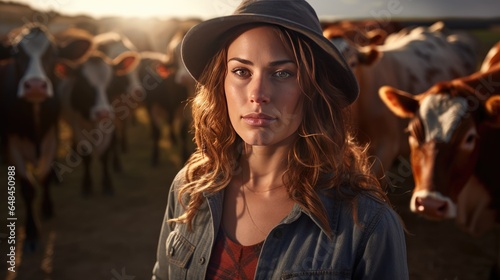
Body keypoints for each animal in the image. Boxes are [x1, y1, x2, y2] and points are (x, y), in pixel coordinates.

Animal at [0, 23, 93, 248]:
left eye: (53, 54)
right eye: (17, 55)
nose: (35, 86)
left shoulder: (52, 136)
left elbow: (43, 177)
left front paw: (47, 208)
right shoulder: (12, 144)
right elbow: (27, 187)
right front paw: (32, 232)